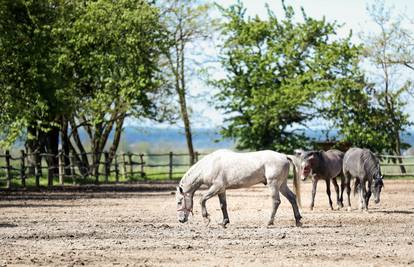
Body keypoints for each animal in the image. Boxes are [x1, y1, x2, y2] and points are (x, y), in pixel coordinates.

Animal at [175, 150, 304, 227]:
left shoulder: (216, 187)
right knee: (292, 198)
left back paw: (269, 222)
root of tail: (284, 156)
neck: (209, 165)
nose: (181, 220)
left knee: (276, 201)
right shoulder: (221, 190)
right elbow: (223, 205)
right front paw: (224, 222)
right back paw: (298, 220)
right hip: (282, 185)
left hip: (274, 184)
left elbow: (202, 199)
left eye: (179, 202)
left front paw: (206, 219)